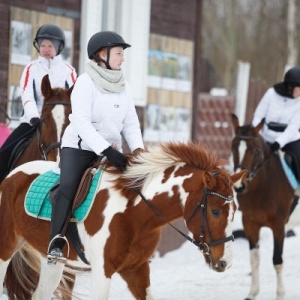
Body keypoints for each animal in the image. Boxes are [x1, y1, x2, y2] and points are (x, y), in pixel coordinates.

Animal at [0, 142, 245, 300]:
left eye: (234, 210)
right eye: (215, 211)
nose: (225, 263)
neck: (134, 213)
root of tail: (12, 175)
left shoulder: (136, 270)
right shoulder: (103, 272)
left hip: (52, 261)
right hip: (5, 250)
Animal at [230, 113, 298, 300]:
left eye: (255, 151)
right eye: (233, 148)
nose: (239, 186)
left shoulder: (278, 226)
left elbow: (277, 260)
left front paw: (280, 294)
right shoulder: (250, 224)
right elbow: (254, 259)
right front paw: (252, 293)